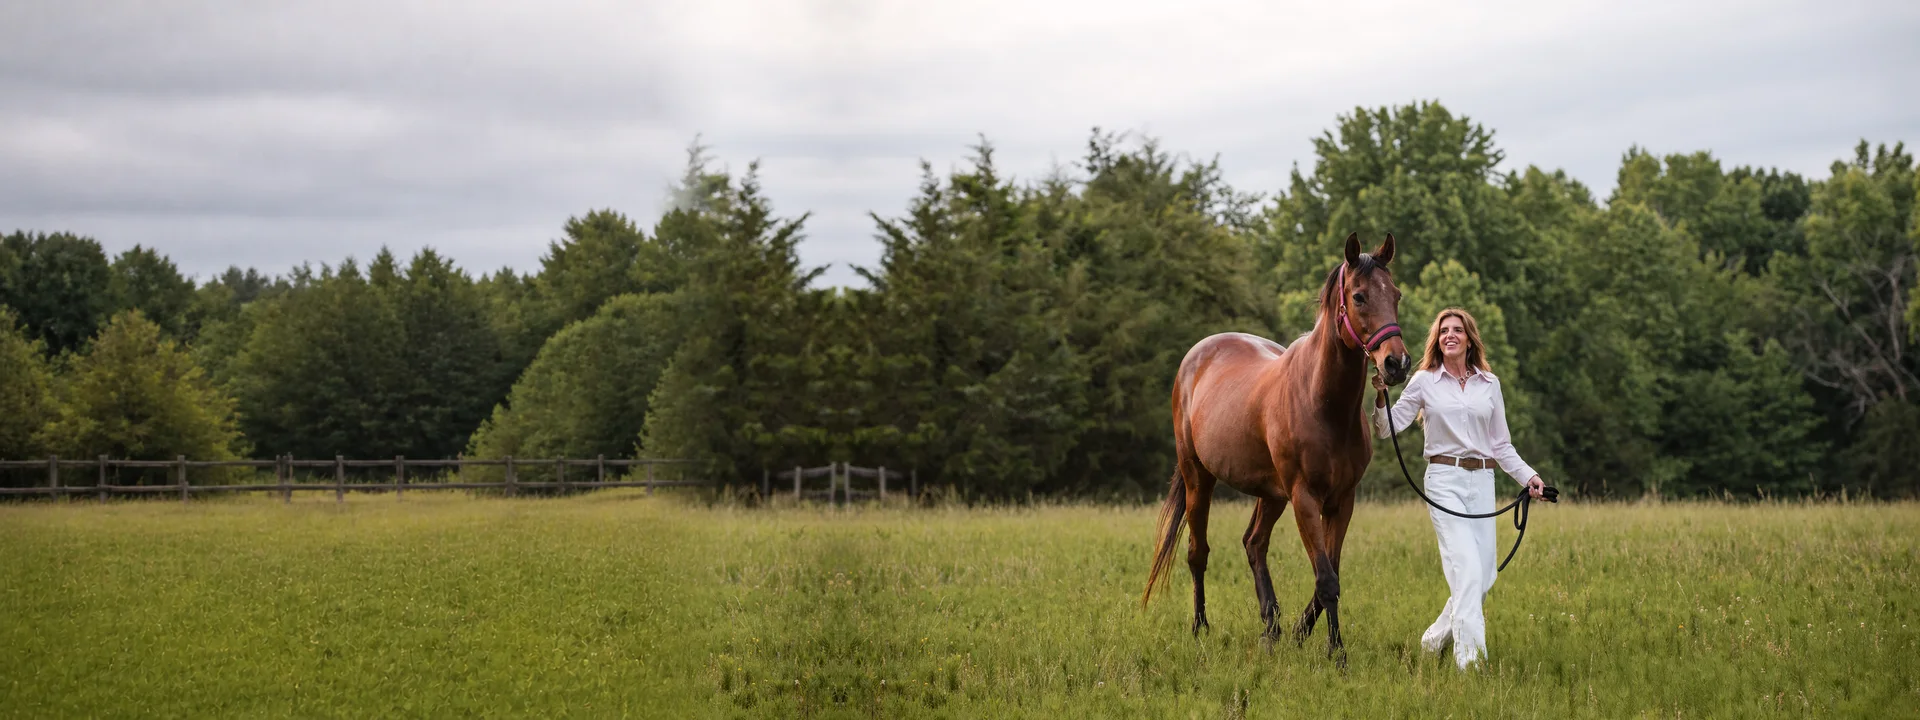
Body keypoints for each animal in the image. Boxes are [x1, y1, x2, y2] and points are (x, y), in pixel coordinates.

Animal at [1143, 232, 1413, 665]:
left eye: (1397, 294)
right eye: (1359, 296)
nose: (1396, 364)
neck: (1323, 402)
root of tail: (1197, 355)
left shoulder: (1342, 500)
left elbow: (1330, 572)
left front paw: (1302, 633)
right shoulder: (1304, 497)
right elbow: (1326, 578)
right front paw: (1337, 653)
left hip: (1270, 494)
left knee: (1254, 544)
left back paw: (1271, 628)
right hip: (1199, 478)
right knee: (1198, 552)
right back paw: (1200, 628)